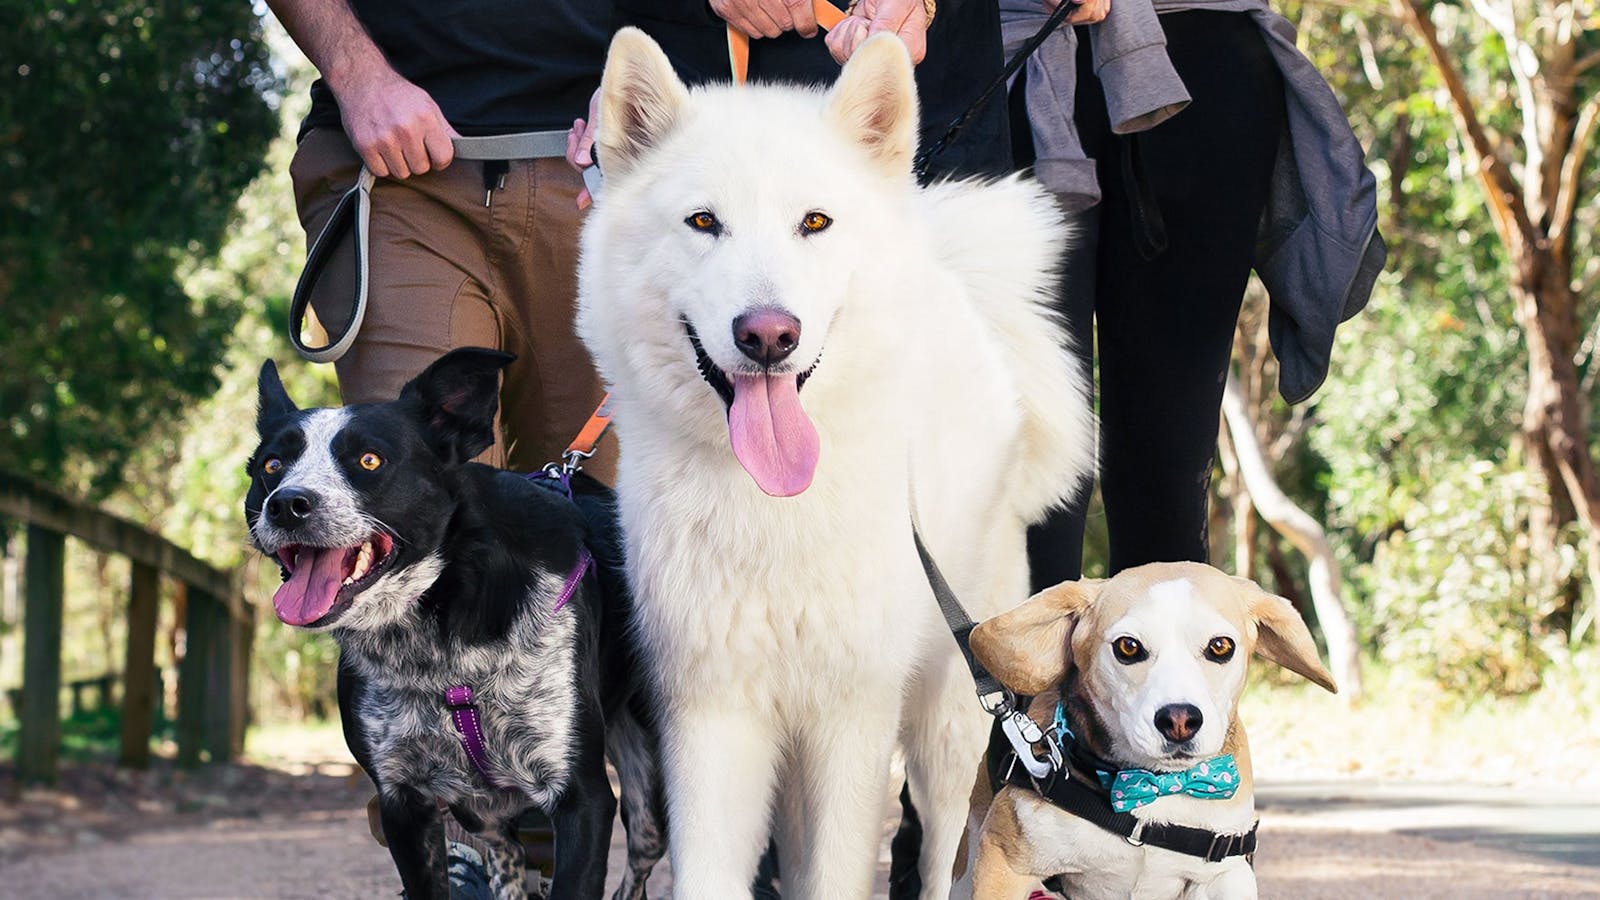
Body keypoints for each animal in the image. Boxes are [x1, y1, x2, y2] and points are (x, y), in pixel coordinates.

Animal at [241, 349, 662, 896]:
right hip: (477, 803)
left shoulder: (583, 801)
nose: (287, 504)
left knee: (642, 855)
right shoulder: (403, 799)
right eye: (271, 466)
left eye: (369, 460)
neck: (438, 638)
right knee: (506, 850)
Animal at [582, 29, 1094, 896]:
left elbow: (841, 870)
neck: (771, 508)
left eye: (814, 222)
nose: (768, 334)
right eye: (703, 222)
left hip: (948, 714)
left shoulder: (850, 717)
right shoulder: (710, 716)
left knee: (944, 845)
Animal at [960, 560, 1337, 896]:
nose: (1180, 721)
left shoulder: (1226, 876)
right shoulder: (1005, 864)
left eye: (1220, 646)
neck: (1157, 790)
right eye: (1128, 647)